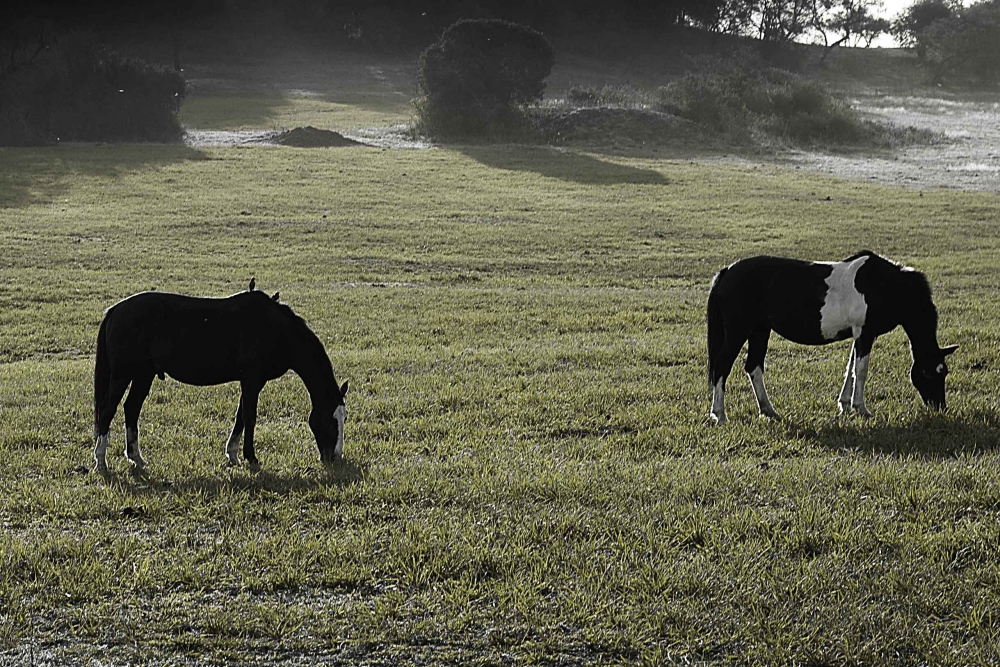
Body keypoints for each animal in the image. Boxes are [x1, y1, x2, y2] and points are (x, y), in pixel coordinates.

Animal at [94, 284, 350, 472]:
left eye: (344, 418)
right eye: (330, 420)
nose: (334, 457)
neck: (275, 329)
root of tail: (115, 310)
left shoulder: (252, 381)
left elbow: (241, 416)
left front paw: (233, 454)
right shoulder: (252, 379)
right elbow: (250, 416)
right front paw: (251, 457)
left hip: (143, 375)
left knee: (131, 408)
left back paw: (136, 457)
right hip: (122, 375)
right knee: (107, 410)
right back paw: (101, 461)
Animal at [708, 253, 956, 426]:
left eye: (944, 372)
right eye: (927, 373)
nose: (939, 407)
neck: (885, 285)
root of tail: (728, 271)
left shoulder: (858, 334)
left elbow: (850, 369)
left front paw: (844, 406)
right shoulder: (865, 333)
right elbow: (861, 371)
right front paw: (861, 409)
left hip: (760, 331)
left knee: (753, 367)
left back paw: (769, 411)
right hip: (738, 332)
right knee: (722, 367)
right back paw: (720, 415)